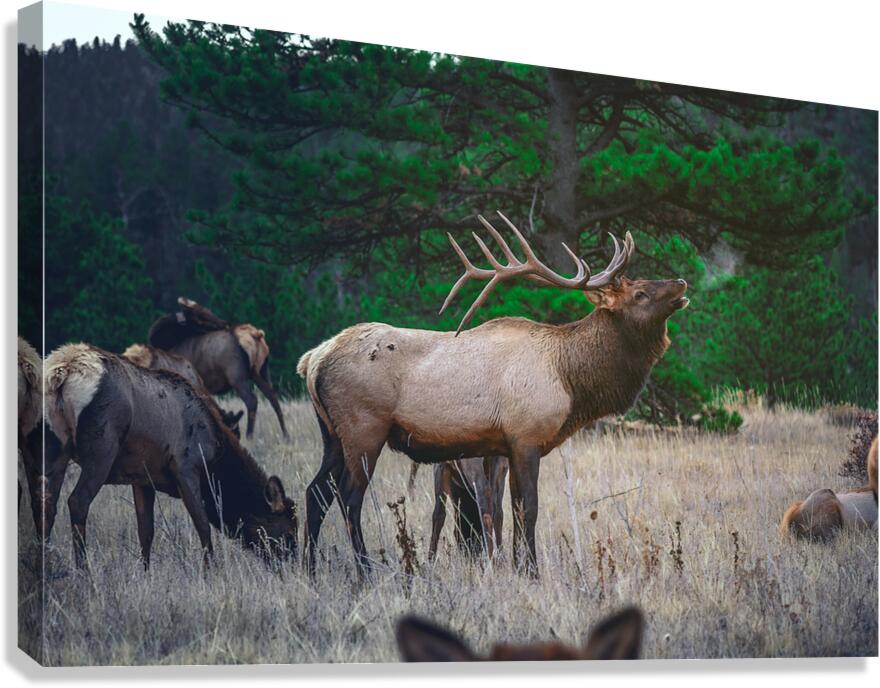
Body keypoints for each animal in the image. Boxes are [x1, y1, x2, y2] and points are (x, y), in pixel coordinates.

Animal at [44, 343, 297, 569]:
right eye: (288, 531)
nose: (293, 566)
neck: (215, 456)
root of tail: (63, 372)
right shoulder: (186, 468)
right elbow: (203, 525)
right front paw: (211, 572)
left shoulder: (142, 478)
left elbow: (146, 531)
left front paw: (145, 573)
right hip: (102, 448)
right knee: (77, 501)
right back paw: (83, 570)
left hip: (53, 449)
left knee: (48, 504)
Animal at [148, 298, 288, 439]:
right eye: (199, 318)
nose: (226, 324)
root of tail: (257, 335)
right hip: (261, 371)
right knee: (273, 397)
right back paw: (286, 436)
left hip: (236, 375)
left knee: (252, 400)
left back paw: (249, 437)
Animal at [297, 211, 688, 578]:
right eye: (639, 293)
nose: (682, 281)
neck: (569, 379)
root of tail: (312, 360)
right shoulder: (526, 436)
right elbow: (529, 508)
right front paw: (532, 572)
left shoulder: (504, 446)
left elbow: (509, 509)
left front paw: (516, 567)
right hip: (363, 428)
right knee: (349, 497)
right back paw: (365, 571)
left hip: (331, 434)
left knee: (315, 493)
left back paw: (311, 569)